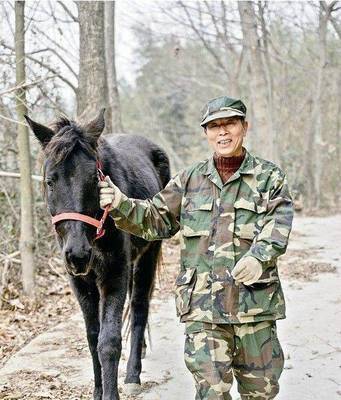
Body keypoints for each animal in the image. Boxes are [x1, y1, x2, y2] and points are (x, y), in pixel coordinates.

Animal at [25, 110, 170, 400]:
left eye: (95, 179)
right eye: (50, 181)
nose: (78, 255)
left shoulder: (114, 276)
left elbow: (109, 341)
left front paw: (112, 392)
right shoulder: (80, 282)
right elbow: (93, 338)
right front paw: (97, 390)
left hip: (149, 253)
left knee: (139, 307)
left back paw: (133, 374)